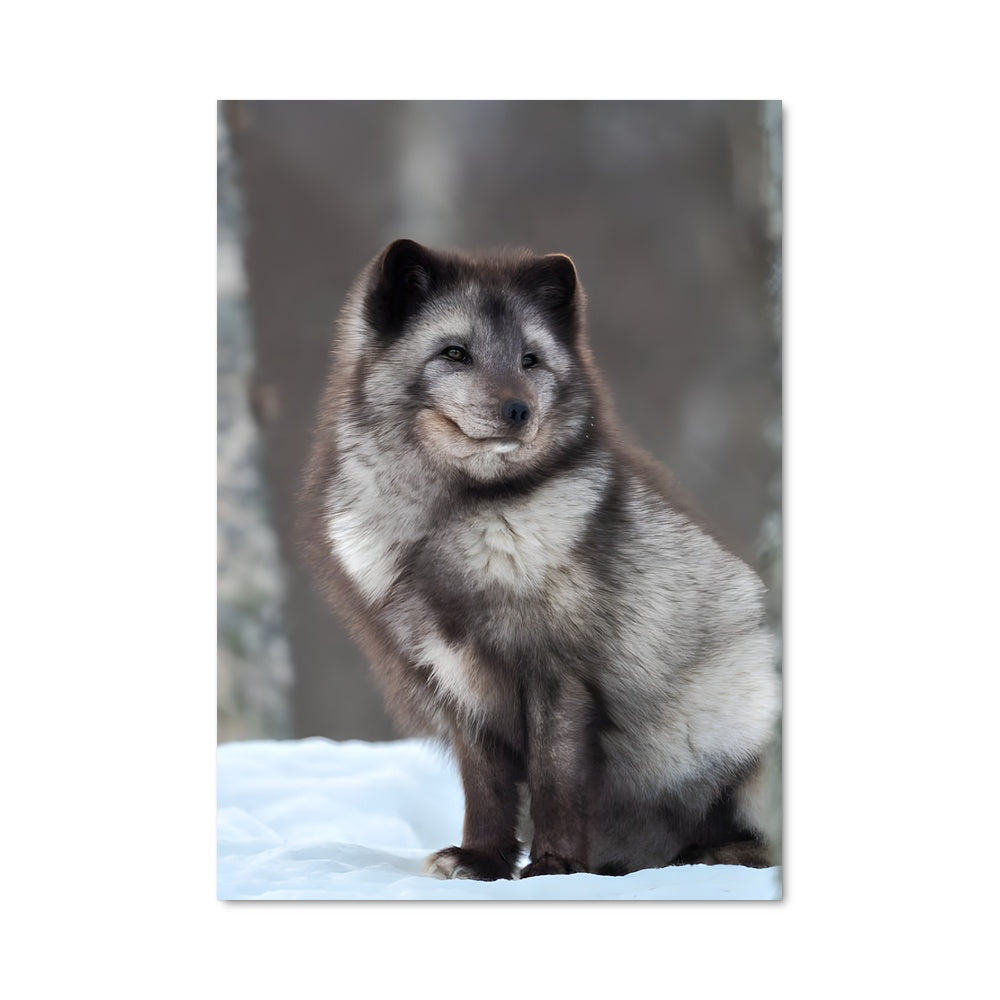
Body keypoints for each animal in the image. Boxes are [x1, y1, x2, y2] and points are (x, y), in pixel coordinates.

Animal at [299, 238, 781, 879]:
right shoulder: (455, 678)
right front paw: (480, 860)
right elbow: (485, 786)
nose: (517, 411)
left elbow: (555, 777)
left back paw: (710, 854)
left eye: (530, 360)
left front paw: (553, 866)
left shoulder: (560, 671)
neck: (454, 516)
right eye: (455, 353)